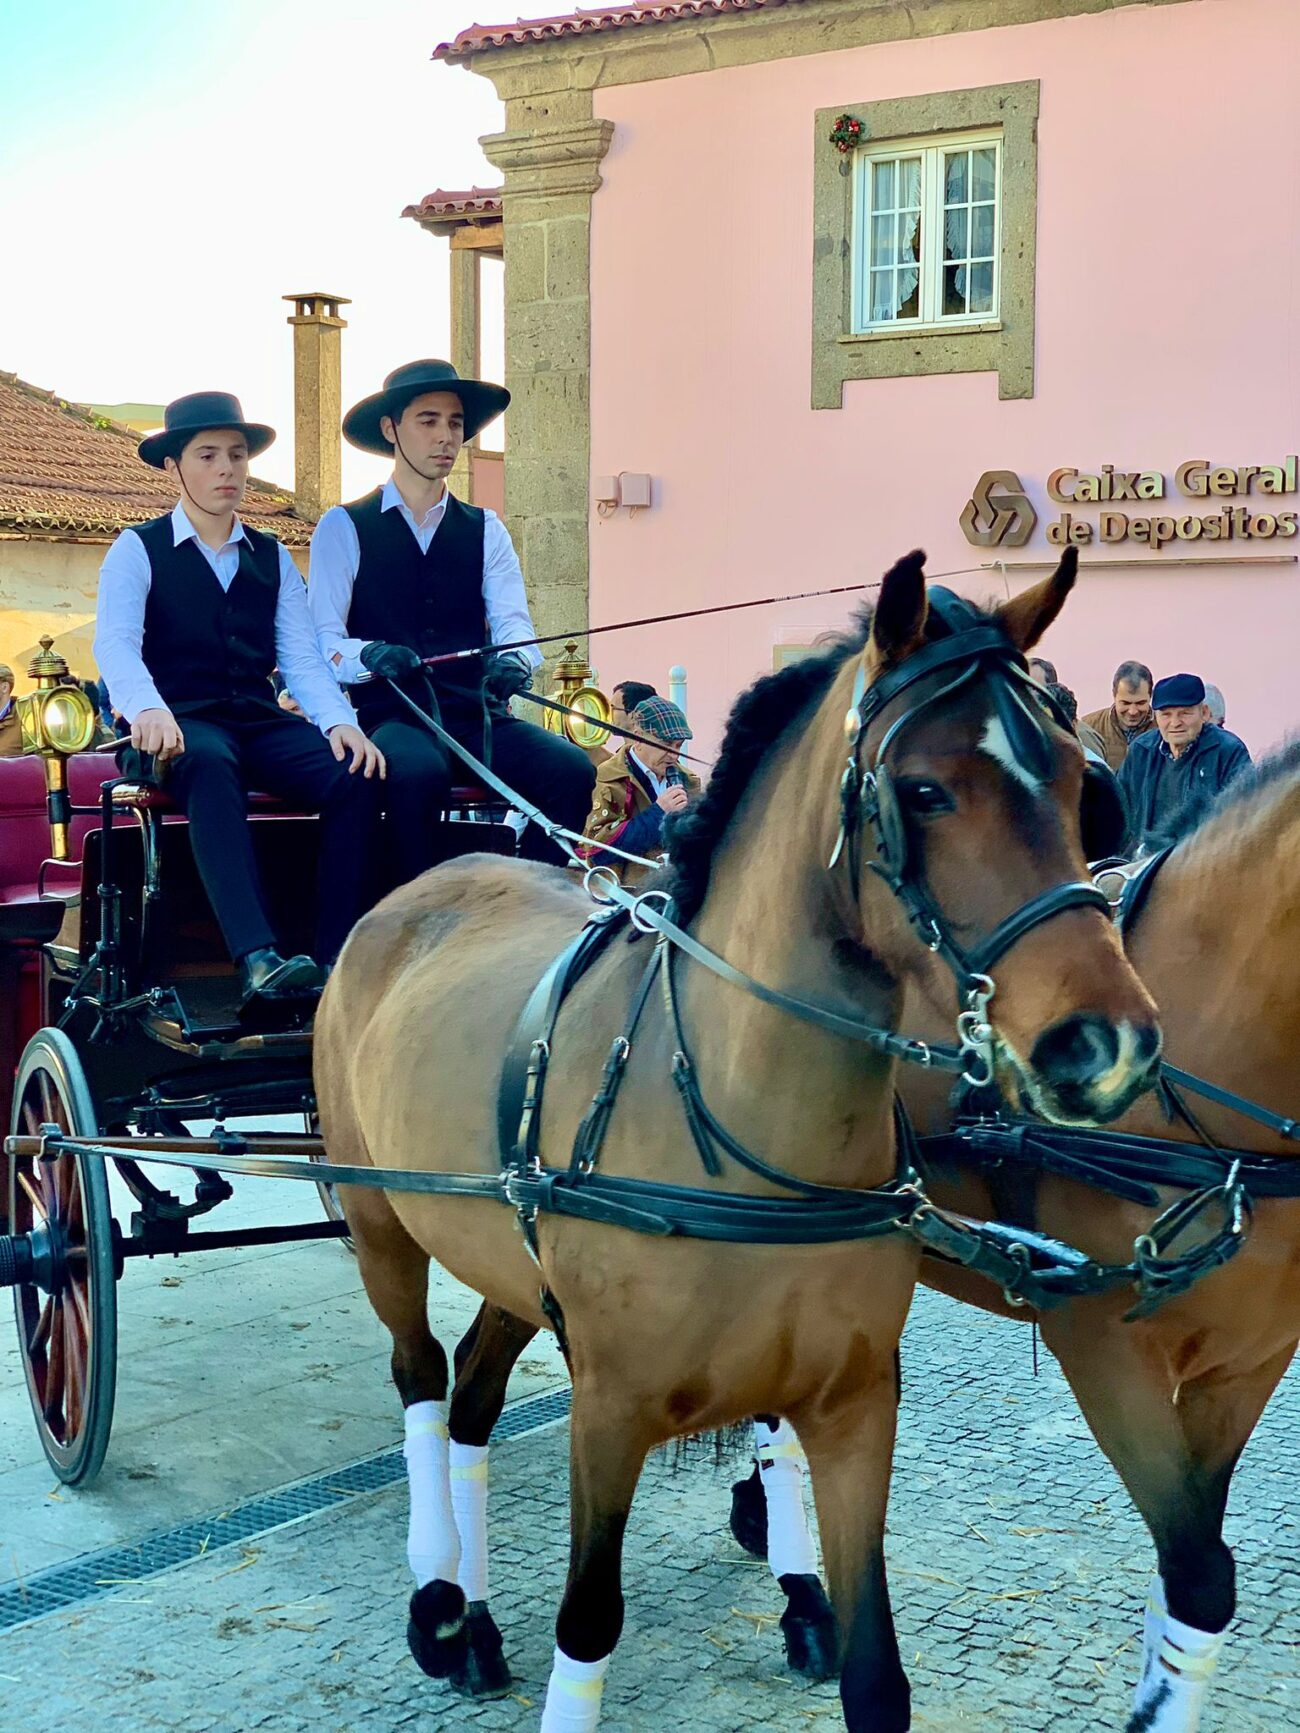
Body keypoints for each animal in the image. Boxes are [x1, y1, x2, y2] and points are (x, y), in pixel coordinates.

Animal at [314, 547, 1162, 1733]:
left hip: (504, 1248)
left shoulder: (853, 1404)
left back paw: (475, 1614)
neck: (733, 1113)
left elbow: (874, 1669)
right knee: (422, 1379)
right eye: (921, 790)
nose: (1108, 1041)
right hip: (383, 1224)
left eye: (1084, 785)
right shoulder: (608, 1406)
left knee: (475, 1394)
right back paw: (439, 1594)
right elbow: (589, 1620)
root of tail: (425, 883)